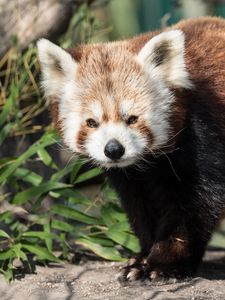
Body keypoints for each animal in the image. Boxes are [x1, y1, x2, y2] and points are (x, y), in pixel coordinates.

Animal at [38, 17, 225, 282]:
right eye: (92, 122)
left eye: (132, 119)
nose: (114, 149)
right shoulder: (130, 178)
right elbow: (141, 207)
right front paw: (141, 258)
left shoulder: (203, 134)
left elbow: (196, 205)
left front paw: (165, 264)